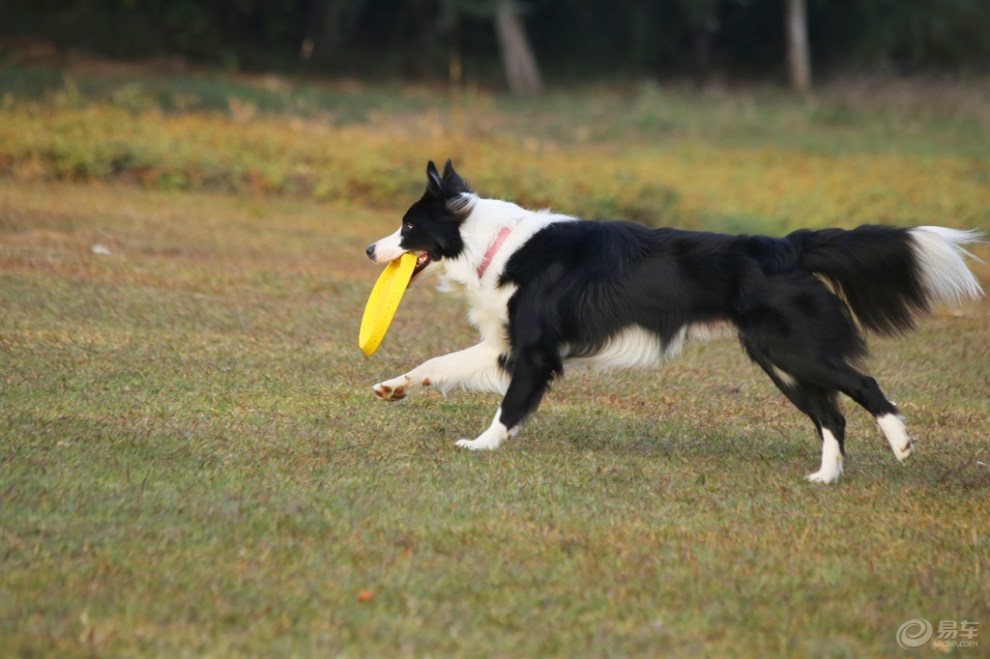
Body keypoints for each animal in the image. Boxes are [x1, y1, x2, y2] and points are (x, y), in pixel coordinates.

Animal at [368, 157, 988, 482]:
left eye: (407, 227)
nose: (370, 250)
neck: (489, 242)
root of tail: (786, 246)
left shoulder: (535, 351)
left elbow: (510, 405)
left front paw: (484, 445)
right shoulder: (508, 343)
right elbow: (438, 361)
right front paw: (393, 386)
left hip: (794, 349)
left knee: (864, 385)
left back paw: (901, 445)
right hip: (778, 358)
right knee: (830, 414)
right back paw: (826, 477)